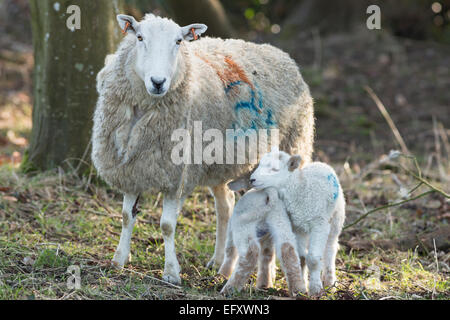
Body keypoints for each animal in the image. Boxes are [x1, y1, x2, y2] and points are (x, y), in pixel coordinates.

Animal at [91, 13, 314, 286]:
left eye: (178, 41)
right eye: (140, 37)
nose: (158, 82)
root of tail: (283, 56)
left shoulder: (177, 176)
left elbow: (167, 225)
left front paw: (171, 272)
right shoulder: (132, 170)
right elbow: (126, 216)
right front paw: (119, 260)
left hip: (294, 146)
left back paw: (275, 278)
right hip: (220, 165)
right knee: (226, 205)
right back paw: (220, 263)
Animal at [250, 149, 344, 296]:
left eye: (275, 169)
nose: (251, 179)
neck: (300, 188)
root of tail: (321, 163)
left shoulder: (319, 224)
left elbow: (313, 259)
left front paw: (316, 290)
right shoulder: (296, 226)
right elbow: (301, 258)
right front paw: (302, 288)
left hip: (335, 219)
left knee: (330, 249)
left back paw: (330, 283)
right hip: (303, 225)